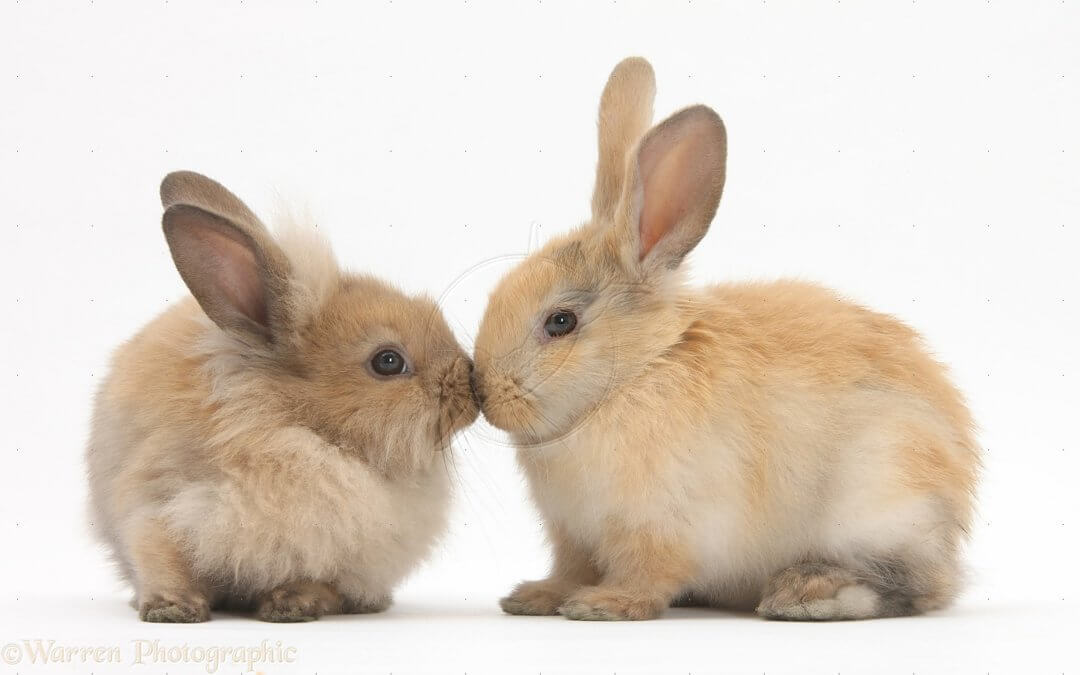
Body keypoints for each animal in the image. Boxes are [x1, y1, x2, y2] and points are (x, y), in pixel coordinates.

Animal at [86, 171, 477, 622]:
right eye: (388, 361)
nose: (470, 383)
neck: (297, 428)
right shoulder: (157, 508)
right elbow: (164, 563)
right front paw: (173, 609)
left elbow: (313, 577)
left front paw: (294, 604)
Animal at [472, 57, 980, 621]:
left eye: (560, 322)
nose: (482, 392)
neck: (637, 375)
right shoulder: (572, 534)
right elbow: (570, 569)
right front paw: (535, 597)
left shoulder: (658, 525)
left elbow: (647, 574)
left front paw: (604, 605)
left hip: (882, 499)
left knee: (914, 585)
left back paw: (806, 593)